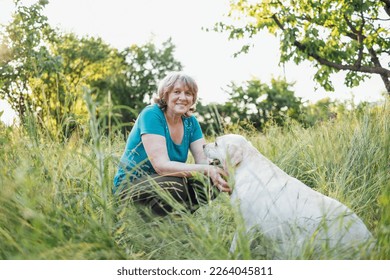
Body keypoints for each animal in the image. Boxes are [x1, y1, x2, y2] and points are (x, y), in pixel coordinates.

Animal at [203, 133, 374, 258]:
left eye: (216, 143)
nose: (203, 145)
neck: (245, 167)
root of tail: (369, 239)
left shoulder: (246, 225)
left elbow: (234, 249)